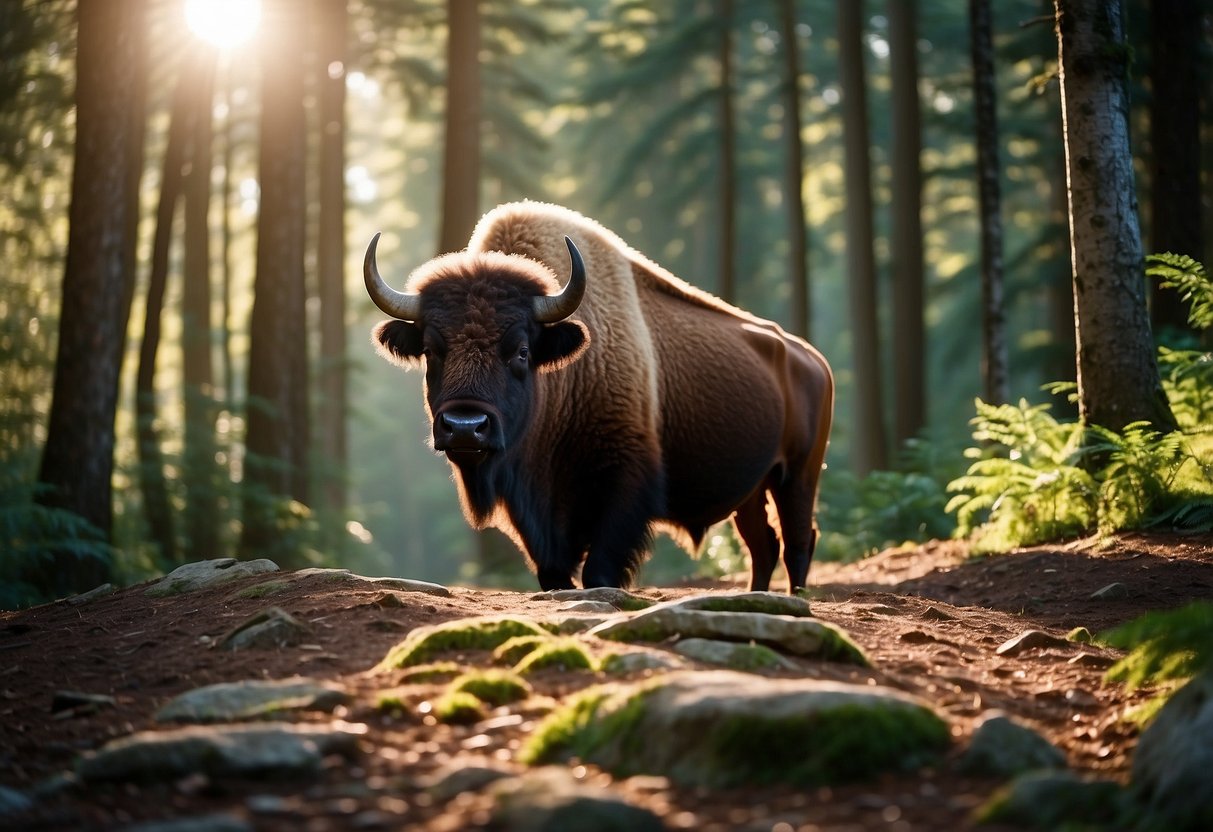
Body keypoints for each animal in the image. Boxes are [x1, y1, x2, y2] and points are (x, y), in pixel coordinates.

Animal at [363, 202, 829, 594]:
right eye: (431, 350)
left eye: (522, 350)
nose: (465, 428)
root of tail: (812, 359)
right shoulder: (534, 513)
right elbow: (554, 572)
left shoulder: (624, 486)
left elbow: (599, 570)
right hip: (753, 490)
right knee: (763, 544)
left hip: (798, 475)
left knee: (798, 539)